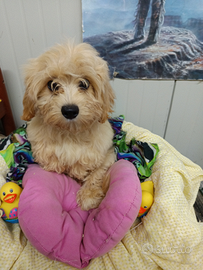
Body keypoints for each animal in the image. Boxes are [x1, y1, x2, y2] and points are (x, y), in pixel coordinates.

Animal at [21, 42, 116, 211]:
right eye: (52, 85)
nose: (70, 110)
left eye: (84, 84)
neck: (70, 134)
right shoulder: (47, 160)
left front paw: (88, 196)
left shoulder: (107, 153)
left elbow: (97, 172)